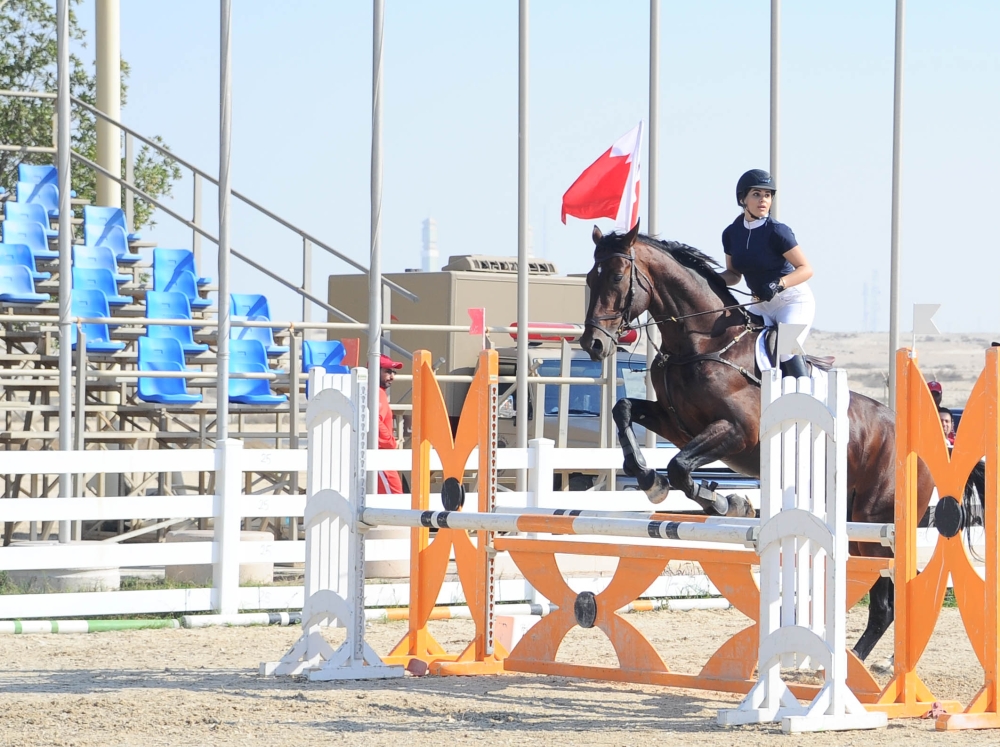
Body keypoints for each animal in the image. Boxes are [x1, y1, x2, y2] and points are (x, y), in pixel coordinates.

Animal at [580, 222, 936, 660]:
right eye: (589, 278)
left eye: (616, 277)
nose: (593, 344)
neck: (703, 343)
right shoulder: (677, 425)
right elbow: (625, 412)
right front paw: (652, 482)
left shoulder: (737, 431)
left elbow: (680, 467)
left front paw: (726, 502)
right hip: (856, 526)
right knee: (886, 597)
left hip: (877, 525)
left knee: (889, 596)